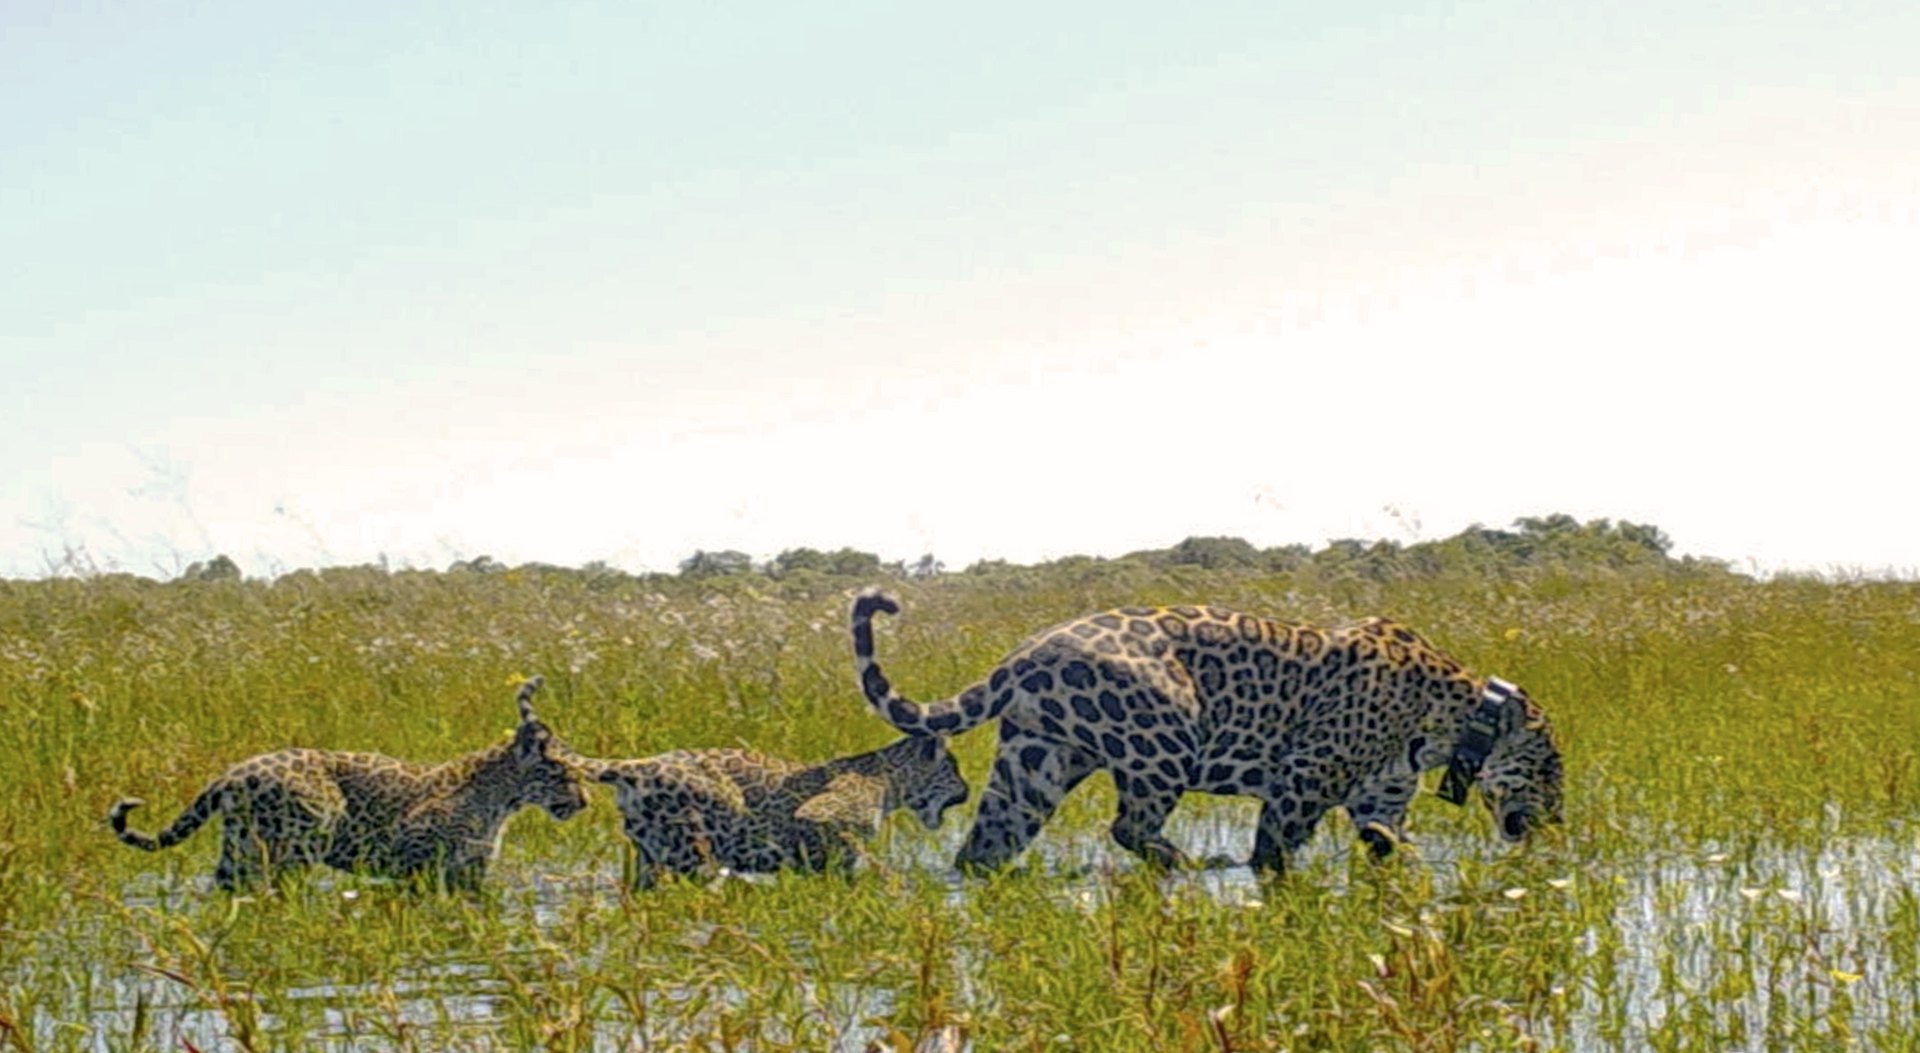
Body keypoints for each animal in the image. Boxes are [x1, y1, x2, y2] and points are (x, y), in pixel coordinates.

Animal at [108, 676, 591, 891]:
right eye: (562, 773)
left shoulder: (469, 871)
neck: (502, 799)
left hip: (242, 843)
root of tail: (232, 773)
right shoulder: (414, 856)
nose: (585, 801)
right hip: (299, 838)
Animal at [594, 733, 968, 889]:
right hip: (695, 846)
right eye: (952, 768)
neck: (889, 781)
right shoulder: (821, 816)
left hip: (649, 853)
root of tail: (635, 766)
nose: (966, 791)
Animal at [849, 589, 1562, 876]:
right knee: (1128, 825)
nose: (1556, 821)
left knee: (988, 841)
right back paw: (1188, 864)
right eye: (1552, 770)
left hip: (1036, 762)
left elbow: (1391, 845)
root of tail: (1023, 653)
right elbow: (1275, 846)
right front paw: (1269, 878)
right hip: (1163, 740)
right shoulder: (1305, 777)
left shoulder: (1380, 797)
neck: (1455, 715)